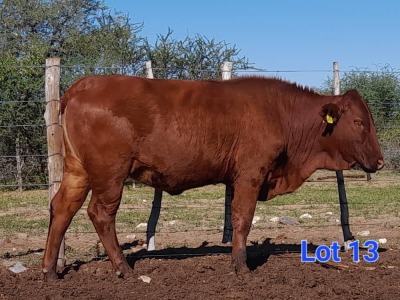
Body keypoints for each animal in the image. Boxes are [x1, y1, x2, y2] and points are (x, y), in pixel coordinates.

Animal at [41, 74, 384, 278]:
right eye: (358, 122)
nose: (380, 161)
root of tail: (87, 83)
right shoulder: (250, 173)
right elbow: (243, 219)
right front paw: (241, 267)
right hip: (110, 172)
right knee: (100, 213)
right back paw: (125, 269)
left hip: (77, 170)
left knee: (62, 208)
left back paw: (50, 271)